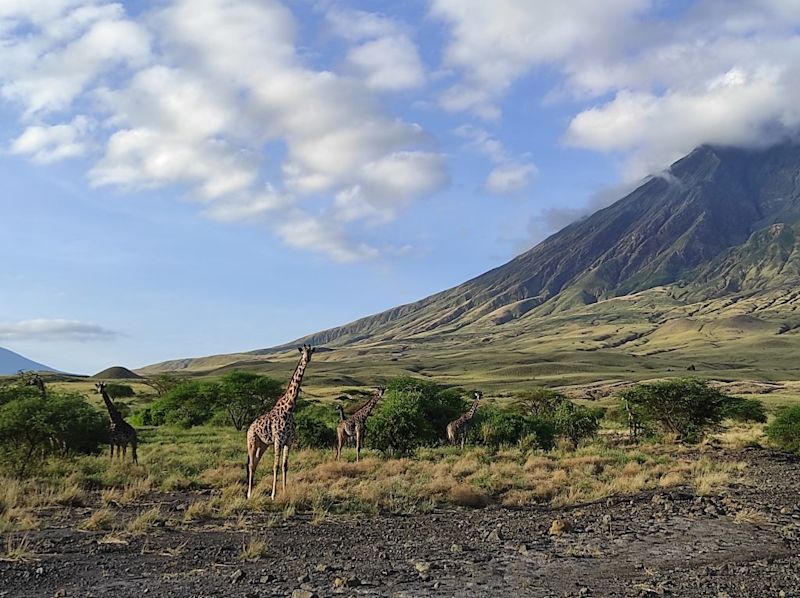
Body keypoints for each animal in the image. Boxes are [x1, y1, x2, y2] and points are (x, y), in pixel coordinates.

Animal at [247, 346, 316, 502]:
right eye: (303, 352)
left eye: (311, 352)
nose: (307, 359)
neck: (289, 409)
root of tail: (249, 427)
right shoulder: (278, 439)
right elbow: (276, 466)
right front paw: (273, 494)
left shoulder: (289, 440)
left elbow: (285, 465)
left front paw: (284, 491)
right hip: (252, 442)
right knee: (250, 464)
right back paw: (248, 494)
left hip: (263, 444)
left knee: (255, 463)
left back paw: (251, 492)